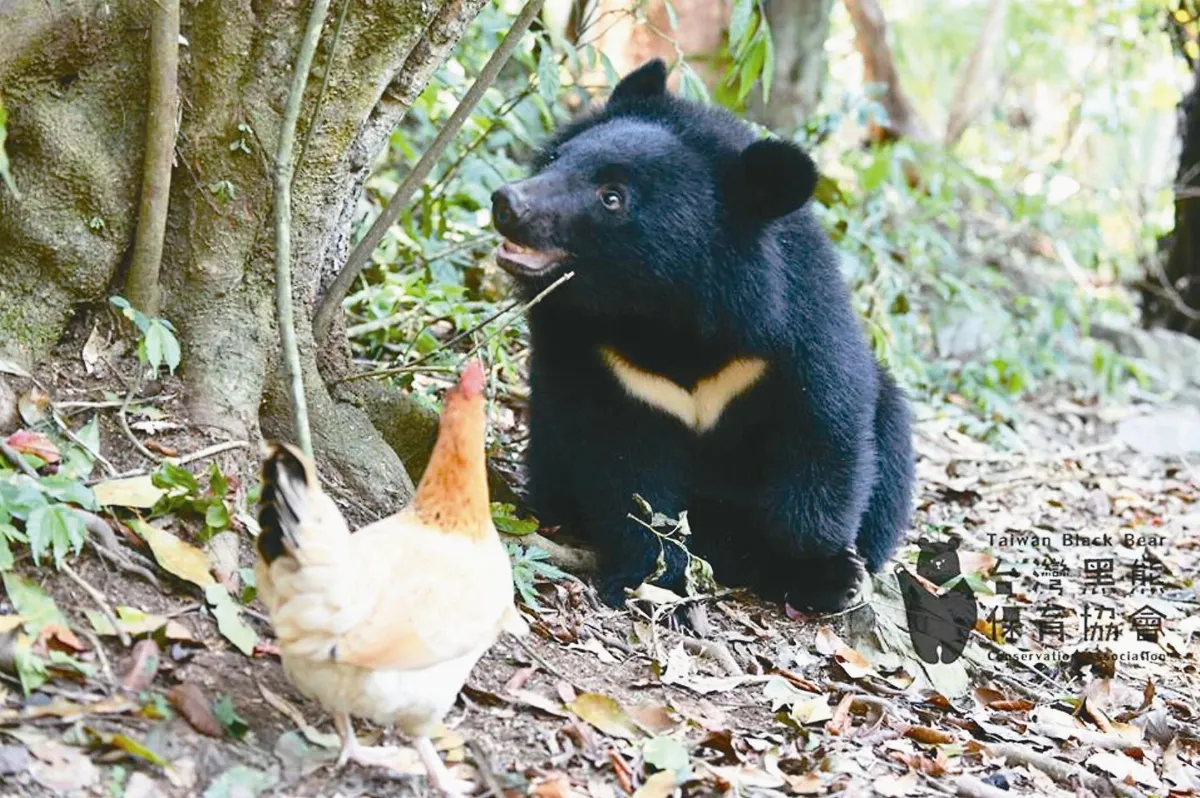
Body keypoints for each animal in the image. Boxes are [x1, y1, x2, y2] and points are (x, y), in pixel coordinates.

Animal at [490, 58, 915, 613]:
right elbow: (623, 469)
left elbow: (824, 434)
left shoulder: (795, 330)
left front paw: (821, 571)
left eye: (612, 198)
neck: (665, 317)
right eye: (556, 159)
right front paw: (651, 575)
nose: (507, 202)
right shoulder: (600, 360)